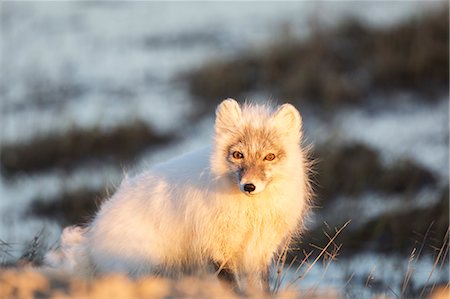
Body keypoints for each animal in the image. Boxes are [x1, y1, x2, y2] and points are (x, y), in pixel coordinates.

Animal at [46, 99, 312, 292]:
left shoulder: (258, 252)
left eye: (269, 157)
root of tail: (92, 237)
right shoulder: (217, 250)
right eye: (238, 155)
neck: (250, 213)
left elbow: (261, 288)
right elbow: (232, 286)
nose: (249, 186)